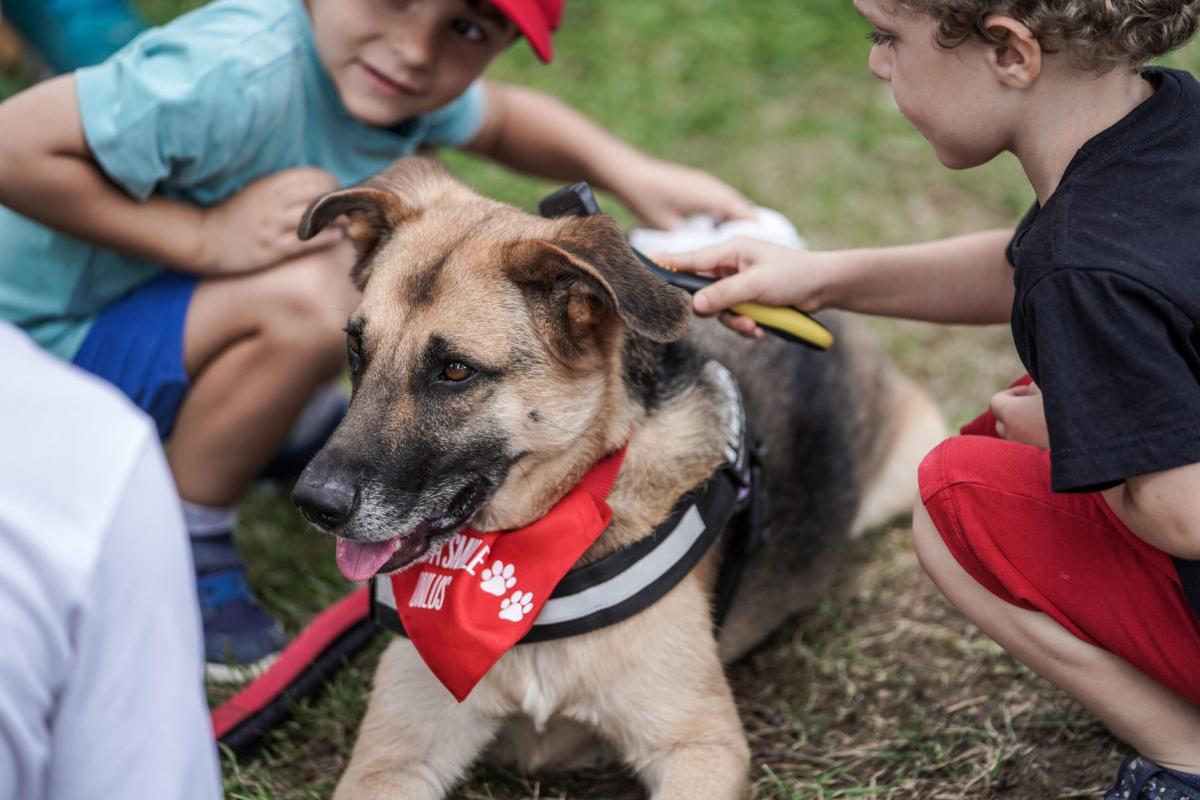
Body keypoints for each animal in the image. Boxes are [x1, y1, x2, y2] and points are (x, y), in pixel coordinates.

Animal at [292, 158, 945, 800]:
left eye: (455, 370)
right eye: (355, 347)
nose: (313, 503)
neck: (526, 562)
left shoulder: (700, 745)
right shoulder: (393, 758)